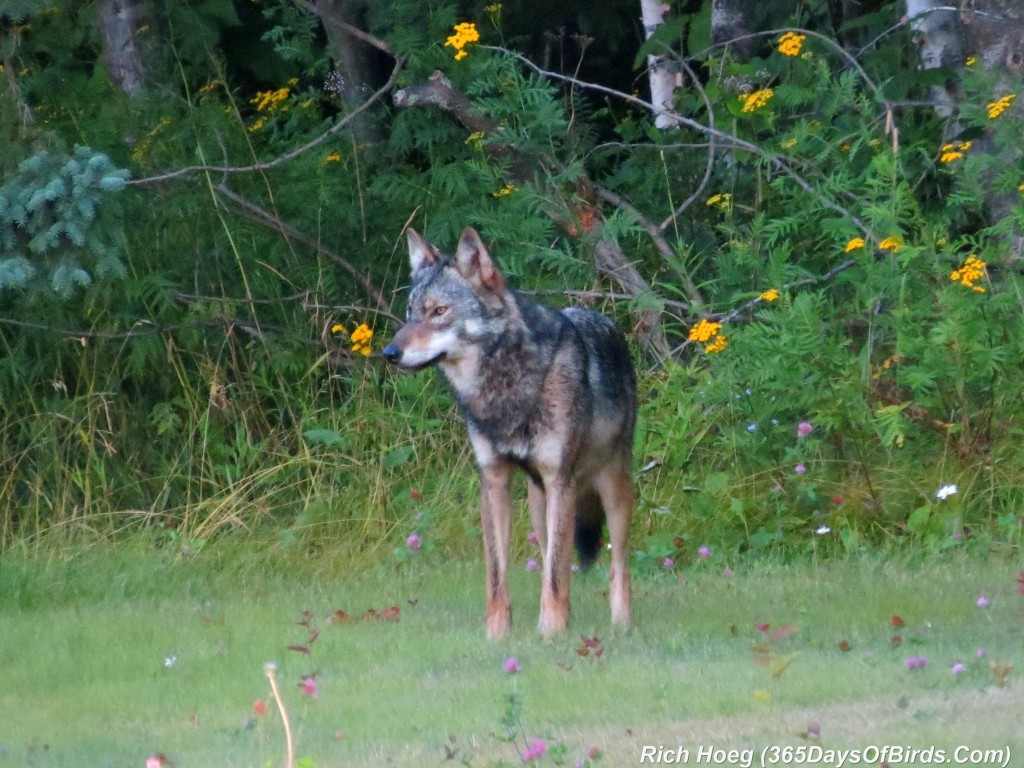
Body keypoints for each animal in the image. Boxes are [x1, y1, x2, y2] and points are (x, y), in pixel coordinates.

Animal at [385, 228, 634, 643]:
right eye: (410, 312)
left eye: (440, 312)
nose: (389, 352)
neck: (504, 386)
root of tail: (604, 319)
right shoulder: (494, 482)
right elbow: (498, 576)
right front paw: (498, 636)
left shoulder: (560, 480)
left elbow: (555, 576)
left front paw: (550, 634)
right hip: (539, 505)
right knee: (555, 562)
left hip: (611, 490)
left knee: (617, 567)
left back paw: (621, 625)